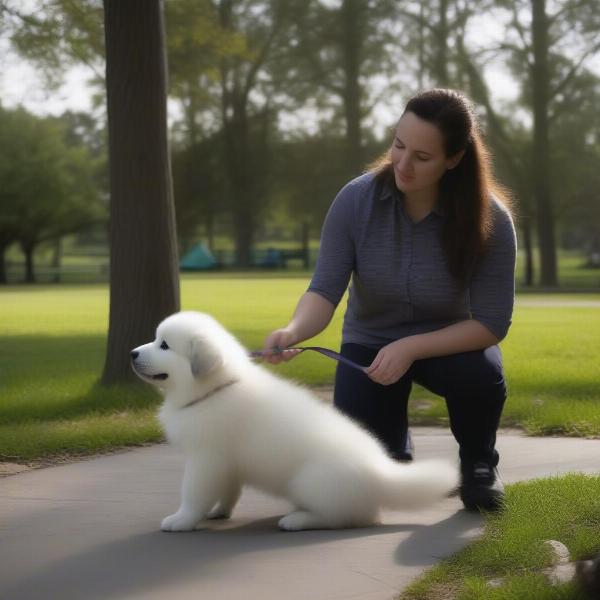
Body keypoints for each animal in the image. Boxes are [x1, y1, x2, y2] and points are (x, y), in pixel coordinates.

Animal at [131, 312, 458, 532]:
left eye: (164, 346)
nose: (132, 353)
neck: (214, 390)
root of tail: (380, 474)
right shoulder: (226, 464)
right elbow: (229, 490)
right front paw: (219, 511)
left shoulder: (205, 460)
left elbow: (193, 493)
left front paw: (181, 520)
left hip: (309, 481)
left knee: (341, 518)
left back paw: (298, 519)